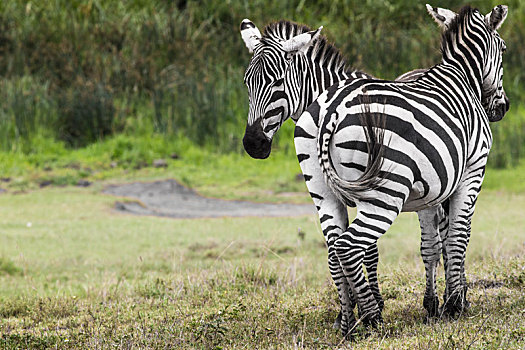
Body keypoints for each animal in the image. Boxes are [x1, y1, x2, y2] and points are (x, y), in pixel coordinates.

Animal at [292, 3, 506, 336]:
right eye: (504, 49)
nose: (502, 108)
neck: (462, 75)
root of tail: (332, 108)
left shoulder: (435, 187)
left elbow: (435, 244)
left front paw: (439, 305)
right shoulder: (473, 169)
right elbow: (458, 237)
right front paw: (454, 307)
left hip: (322, 189)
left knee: (333, 247)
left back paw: (348, 323)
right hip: (385, 191)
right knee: (348, 246)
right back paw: (372, 319)